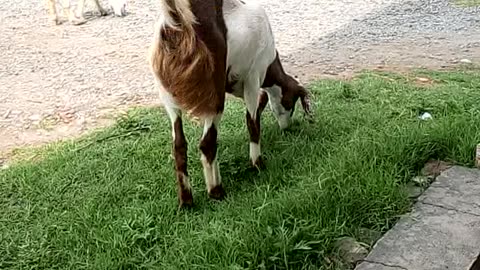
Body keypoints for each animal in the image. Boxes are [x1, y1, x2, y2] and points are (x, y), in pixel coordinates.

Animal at [152, 0, 314, 207]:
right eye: (291, 104)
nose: (287, 127)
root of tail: (177, 23)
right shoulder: (253, 77)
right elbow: (252, 123)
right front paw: (257, 164)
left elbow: (258, 106)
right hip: (213, 96)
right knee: (207, 143)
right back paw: (216, 191)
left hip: (168, 96)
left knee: (179, 145)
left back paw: (186, 200)